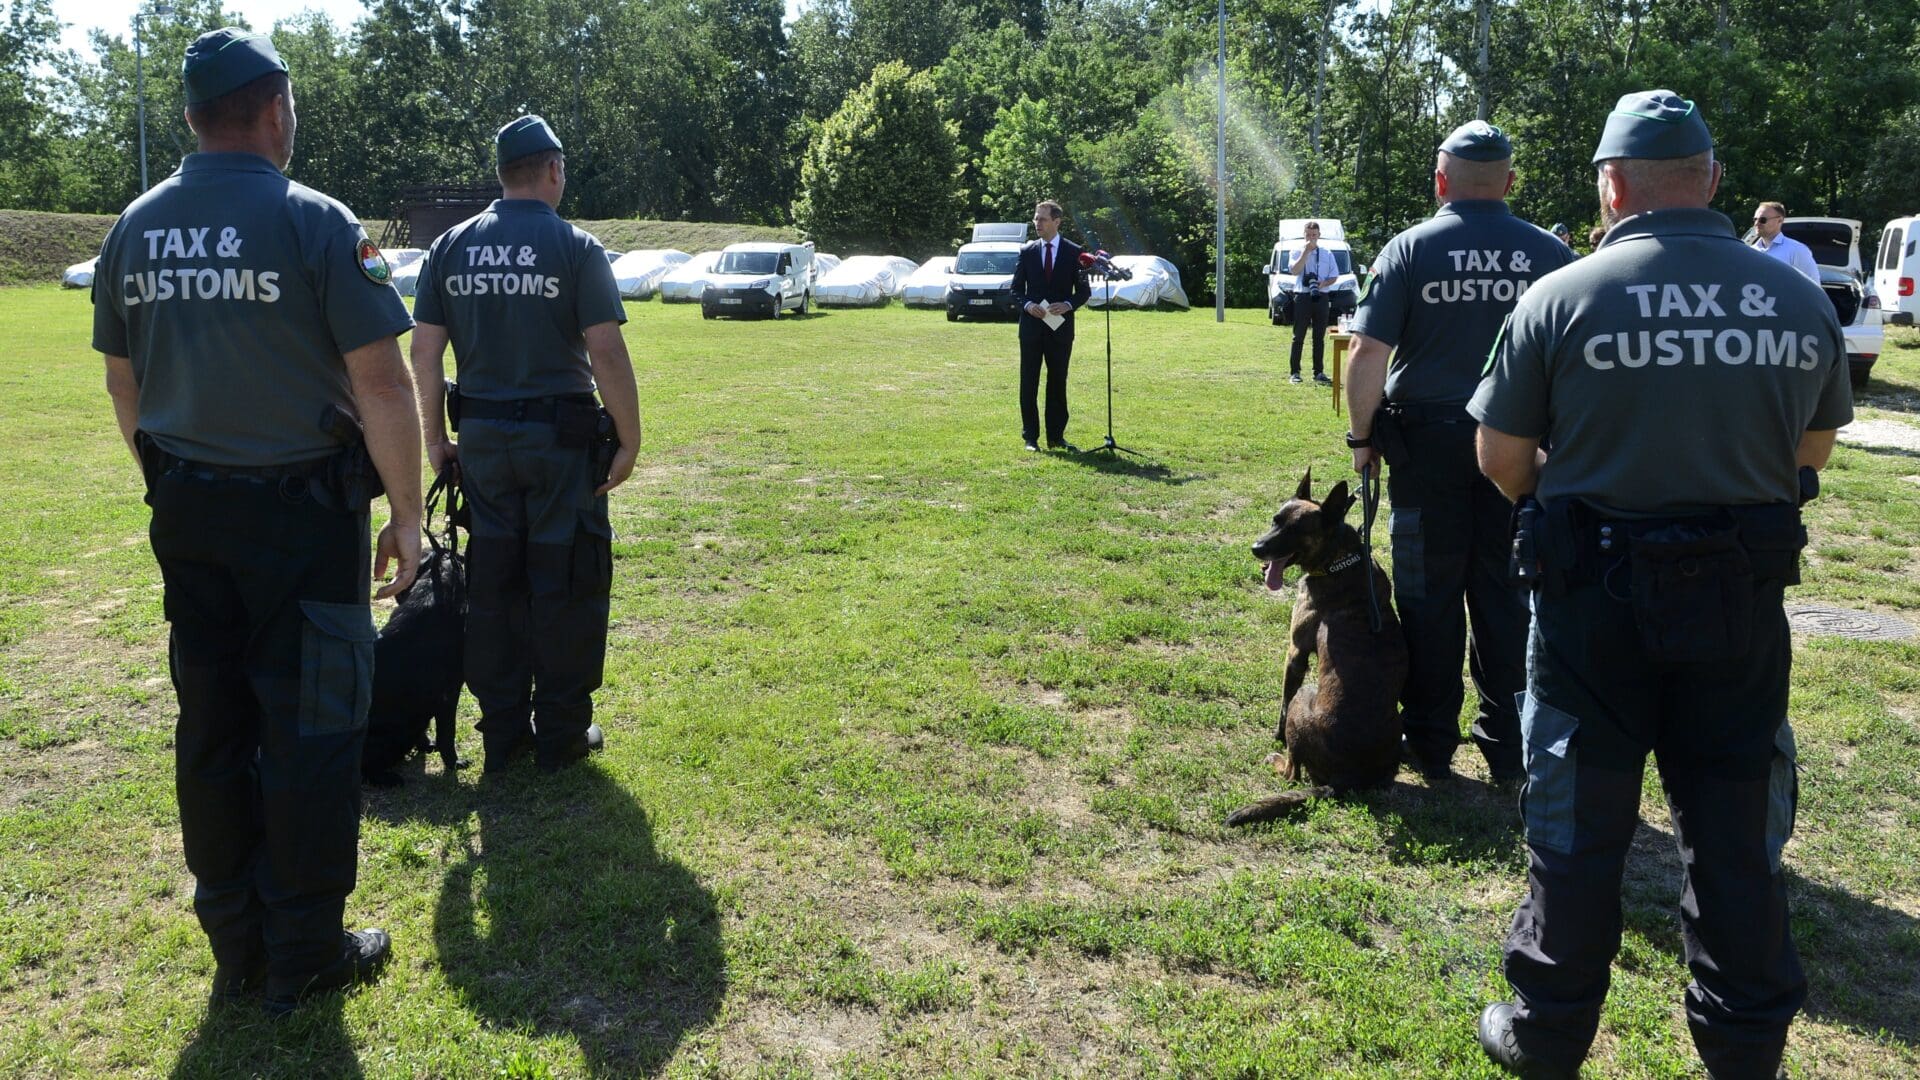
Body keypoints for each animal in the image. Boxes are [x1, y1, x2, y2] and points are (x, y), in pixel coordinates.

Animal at [1228, 465, 1413, 822]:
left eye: (1296, 530)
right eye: (1275, 520)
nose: (1256, 548)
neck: (1337, 561)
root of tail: (1349, 779)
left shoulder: (1295, 654)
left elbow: (1282, 704)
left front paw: (1277, 736)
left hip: (1306, 695)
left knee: (1292, 772)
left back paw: (1277, 760)